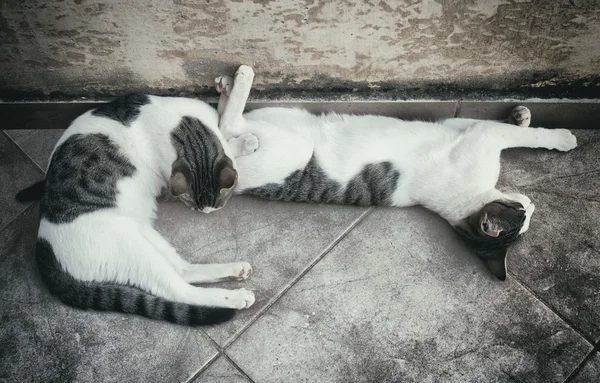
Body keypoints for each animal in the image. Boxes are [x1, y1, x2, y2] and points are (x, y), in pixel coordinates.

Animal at [16, 94, 255, 326]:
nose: (206, 213)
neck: (183, 127)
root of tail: (43, 250)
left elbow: (225, 140)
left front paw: (242, 142)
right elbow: (229, 123)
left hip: (147, 236)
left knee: (183, 271)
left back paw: (234, 271)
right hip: (131, 248)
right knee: (179, 291)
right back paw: (235, 297)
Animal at [214, 65, 576, 282]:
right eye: (520, 213)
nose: (532, 206)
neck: (465, 204)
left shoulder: (461, 128)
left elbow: (479, 121)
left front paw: (522, 117)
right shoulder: (478, 135)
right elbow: (506, 130)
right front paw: (555, 134)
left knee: (221, 122)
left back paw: (227, 86)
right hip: (285, 145)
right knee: (226, 126)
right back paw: (239, 80)